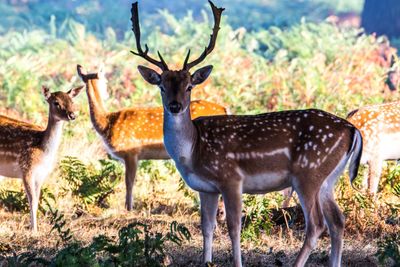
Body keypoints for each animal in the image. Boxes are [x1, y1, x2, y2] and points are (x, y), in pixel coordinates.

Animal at [0, 86, 83, 232]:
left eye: (72, 101)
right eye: (56, 102)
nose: (72, 115)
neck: (43, 151)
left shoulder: (41, 174)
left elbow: (37, 200)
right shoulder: (26, 169)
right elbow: (32, 200)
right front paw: (34, 230)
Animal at [76, 63, 227, 210]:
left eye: (105, 81)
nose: (107, 93)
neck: (107, 123)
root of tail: (225, 109)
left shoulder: (131, 152)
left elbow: (129, 182)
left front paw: (129, 209)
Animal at [132, 1, 366, 266]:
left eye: (189, 86)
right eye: (162, 86)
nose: (175, 106)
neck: (192, 150)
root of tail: (352, 129)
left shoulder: (231, 178)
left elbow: (234, 227)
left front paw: (236, 262)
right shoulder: (206, 188)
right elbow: (207, 227)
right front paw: (206, 261)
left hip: (308, 173)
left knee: (316, 224)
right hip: (328, 178)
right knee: (337, 220)